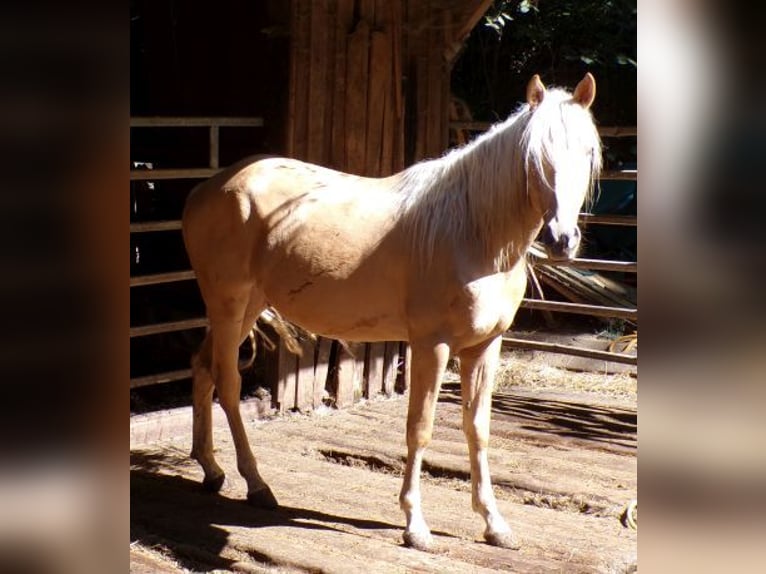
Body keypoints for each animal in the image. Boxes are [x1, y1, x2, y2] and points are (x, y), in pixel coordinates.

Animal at [183, 74, 604, 552]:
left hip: (247, 305)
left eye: (588, 153)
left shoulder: (485, 347)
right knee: (227, 382)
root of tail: (207, 189)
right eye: (535, 156)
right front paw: (415, 525)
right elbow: (420, 428)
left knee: (203, 368)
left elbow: (478, 428)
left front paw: (494, 524)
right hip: (229, 303)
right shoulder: (432, 345)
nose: (562, 239)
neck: (473, 233)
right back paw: (255, 484)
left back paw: (211, 470)